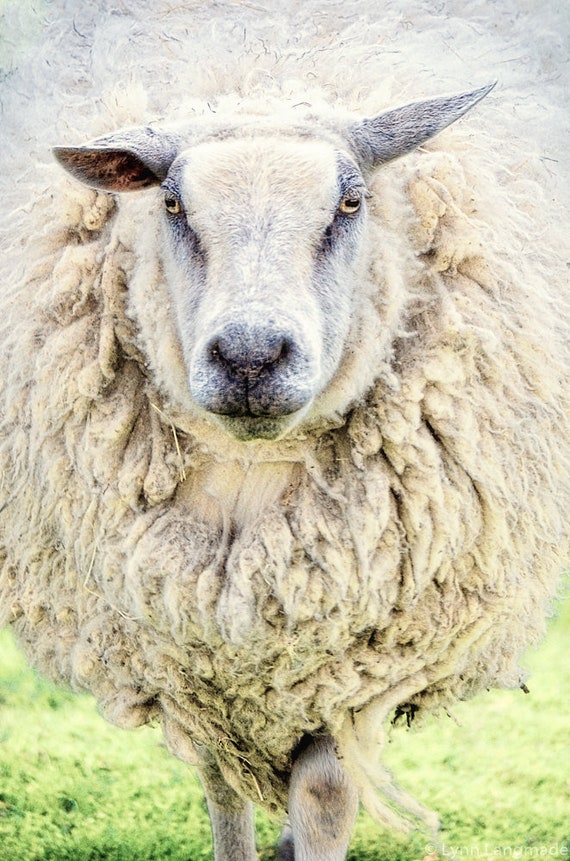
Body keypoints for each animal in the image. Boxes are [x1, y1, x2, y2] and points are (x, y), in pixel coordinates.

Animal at [0, 0, 568, 859]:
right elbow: (220, 783)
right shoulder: (190, 641)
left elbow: (327, 789)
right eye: (172, 205)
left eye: (351, 204)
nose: (250, 354)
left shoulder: (348, 646)